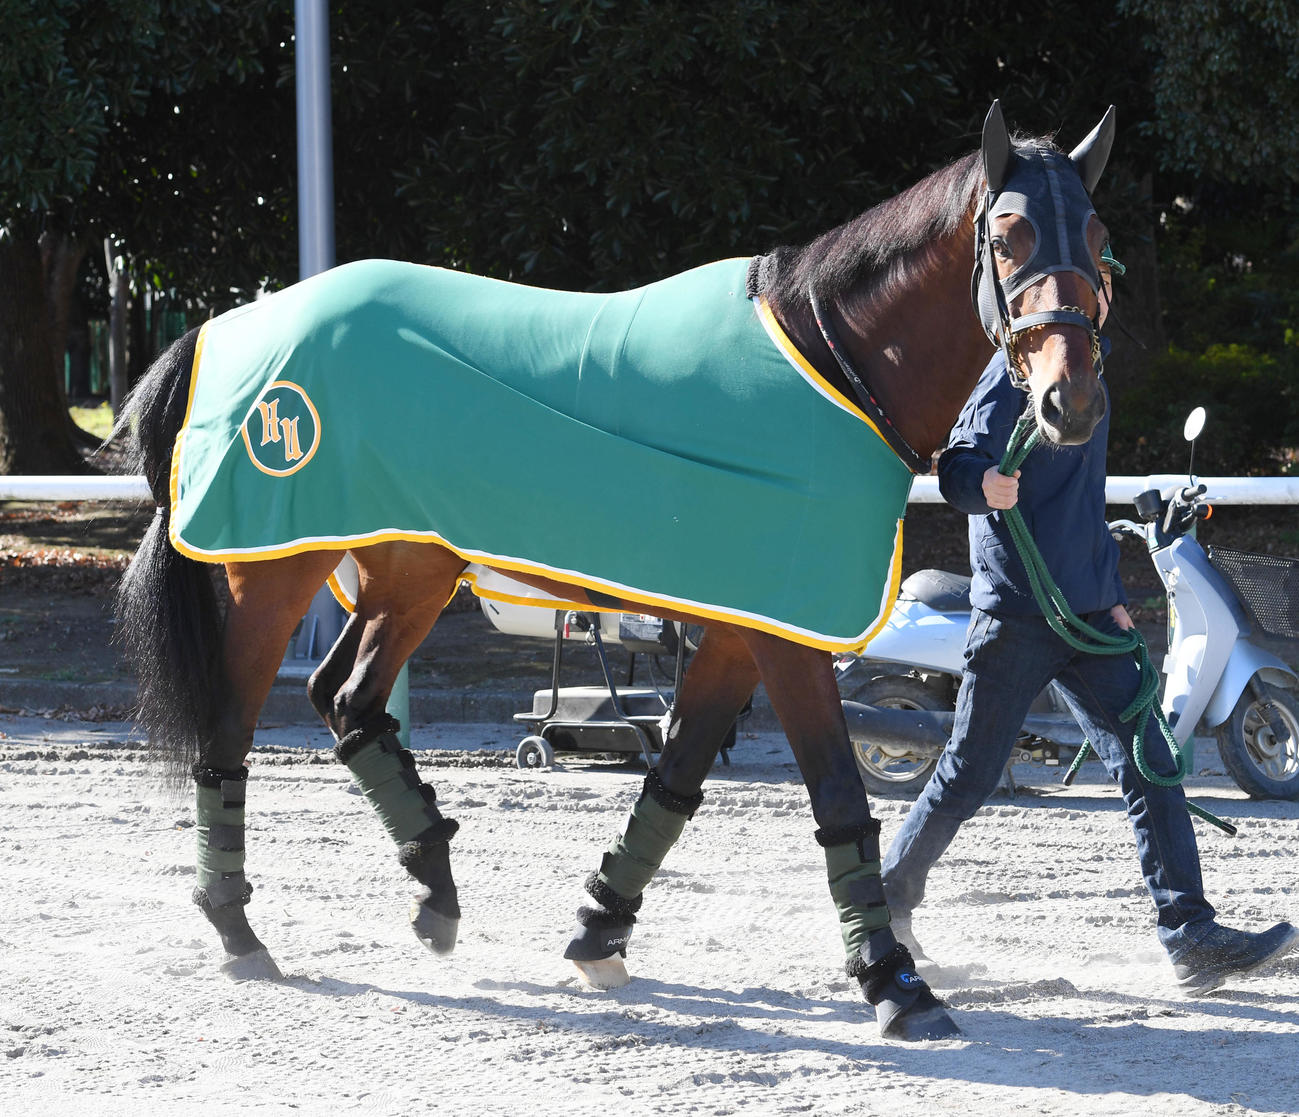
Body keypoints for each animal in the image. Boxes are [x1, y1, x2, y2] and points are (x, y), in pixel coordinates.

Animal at [114, 101, 1115, 1041]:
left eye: (1098, 239)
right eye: (1008, 234)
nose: (1068, 404)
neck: (831, 365)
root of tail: (234, 321)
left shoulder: (742, 630)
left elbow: (673, 777)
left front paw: (599, 933)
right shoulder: (787, 637)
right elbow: (836, 792)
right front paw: (896, 984)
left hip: (410, 570)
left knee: (348, 699)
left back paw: (435, 893)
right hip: (276, 575)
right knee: (229, 730)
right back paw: (239, 932)